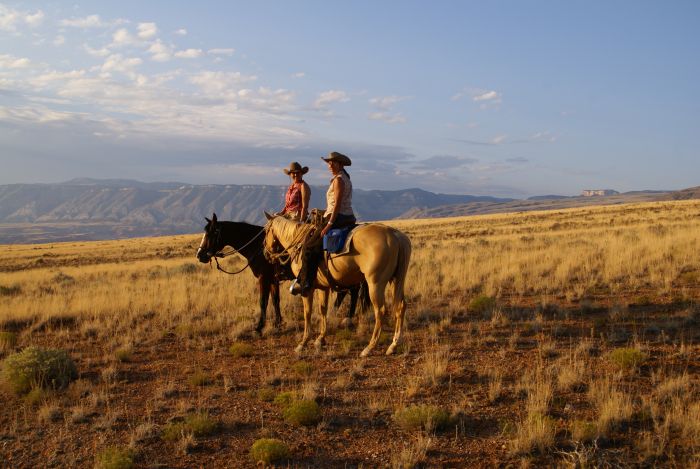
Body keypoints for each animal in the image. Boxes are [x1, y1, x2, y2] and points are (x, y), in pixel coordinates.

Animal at [194, 214, 364, 330]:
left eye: (211, 233)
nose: (200, 255)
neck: (259, 247)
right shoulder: (273, 279)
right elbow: (275, 300)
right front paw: (278, 322)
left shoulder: (263, 278)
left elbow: (263, 301)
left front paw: (259, 327)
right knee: (346, 291)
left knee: (353, 291)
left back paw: (347, 318)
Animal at [266, 214, 412, 356]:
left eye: (266, 231)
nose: (266, 254)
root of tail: (394, 235)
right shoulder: (323, 287)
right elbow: (323, 309)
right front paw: (320, 339)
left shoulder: (307, 289)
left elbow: (307, 313)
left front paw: (303, 343)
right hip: (395, 280)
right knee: (400, 306)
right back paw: (393, 345)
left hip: (375, 283)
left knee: (380, 311)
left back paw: (369, 347)